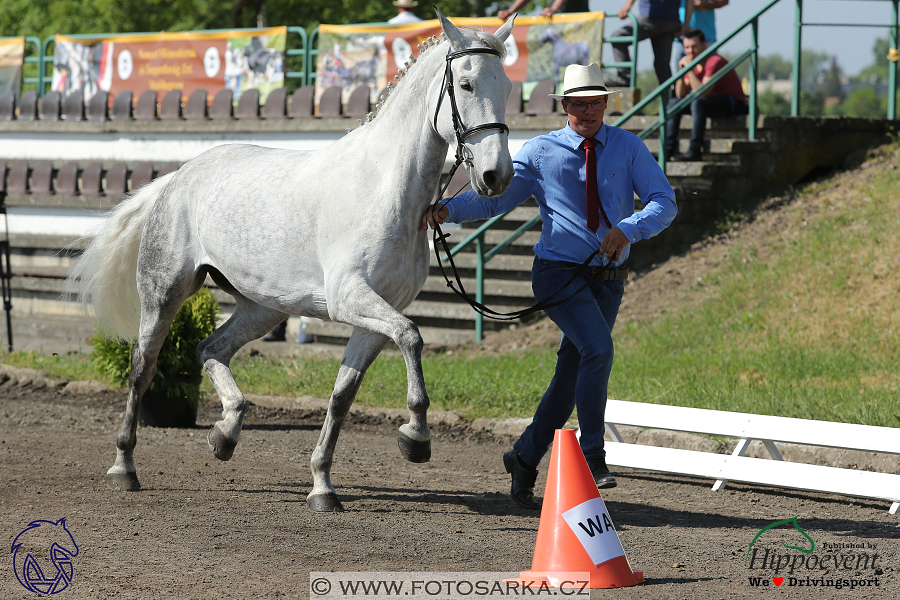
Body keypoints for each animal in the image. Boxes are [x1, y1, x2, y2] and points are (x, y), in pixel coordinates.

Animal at [72, 10, 512, 510]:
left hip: (263, 307)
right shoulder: (350, 299)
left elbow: (343, 395)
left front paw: (322, 486)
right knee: (142, 370)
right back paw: (124, 467)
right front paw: (415, 438)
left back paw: (224, 435)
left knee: (209, 350)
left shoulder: (375, 315)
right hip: (165, 294)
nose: (497, 176)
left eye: (507, 88)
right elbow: (413, 337)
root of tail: (178, 177)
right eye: (467, 85)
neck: (384, 188)